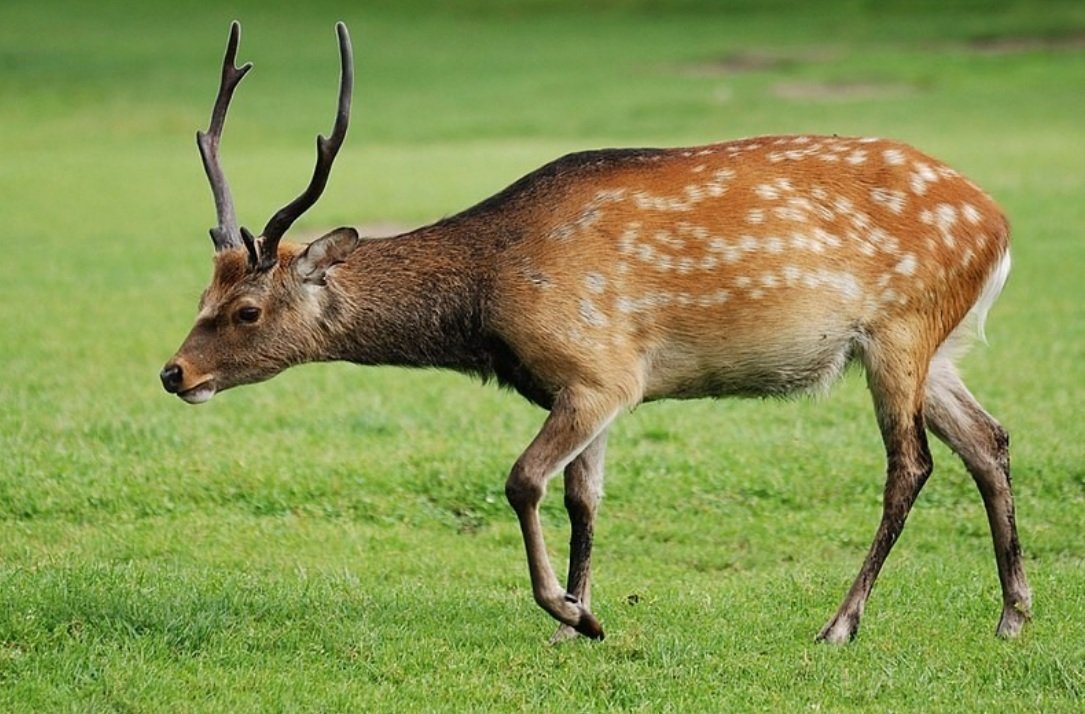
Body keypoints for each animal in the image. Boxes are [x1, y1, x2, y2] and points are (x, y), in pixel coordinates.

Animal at [161, 21, 1031, 644]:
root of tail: (997, 225)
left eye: (246, 311)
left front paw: (568, 611)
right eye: (203, 290)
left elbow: (522, 481)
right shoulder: (594, 387)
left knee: (909, 464)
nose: (174, 373)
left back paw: (839, 624)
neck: (487, 302)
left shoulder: (597, 368)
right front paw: (579, 619)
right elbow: (585, 497)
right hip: (934, 344)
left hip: (900, 326)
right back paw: (1012, 615)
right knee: (987, 439)